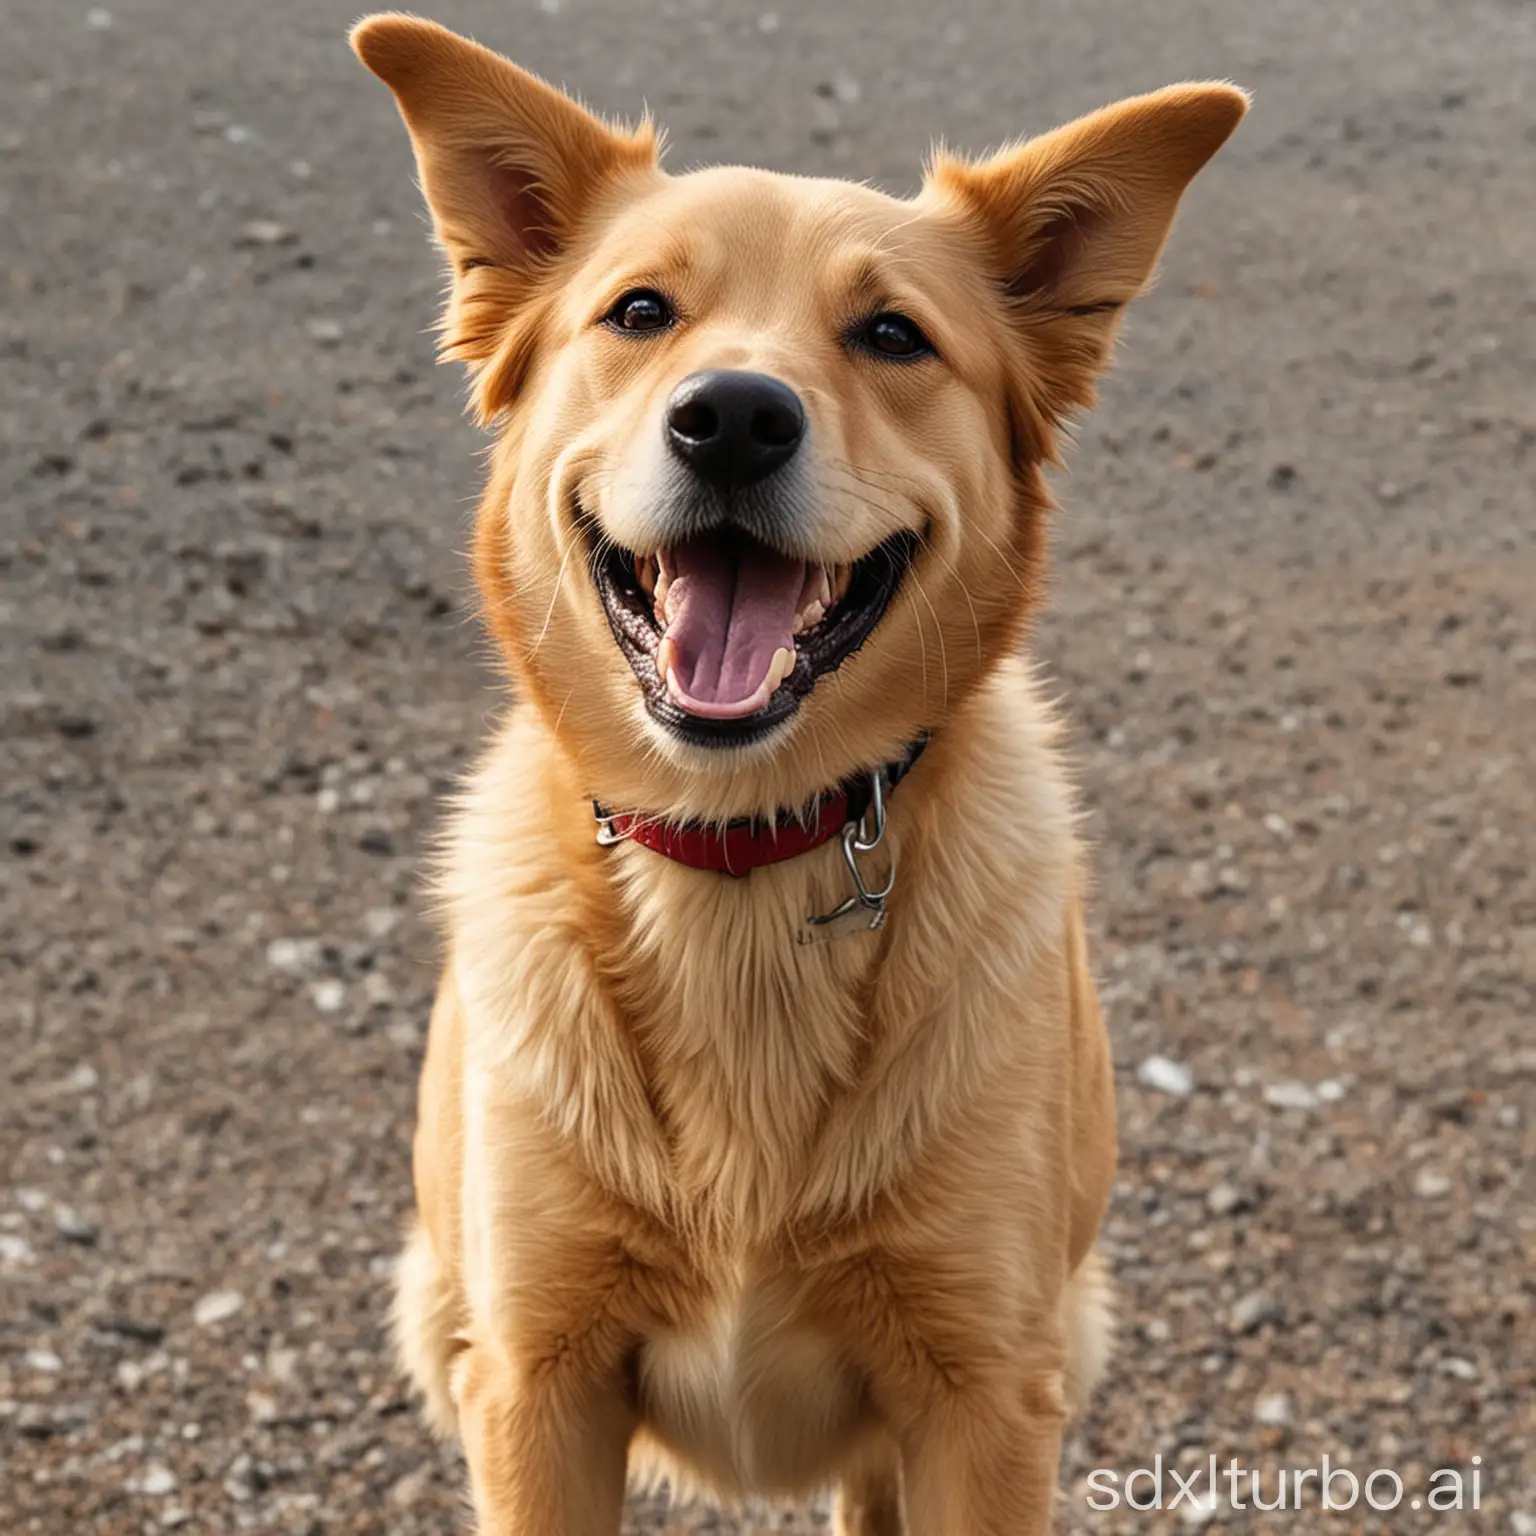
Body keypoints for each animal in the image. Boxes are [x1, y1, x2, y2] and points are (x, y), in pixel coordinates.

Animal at [353, 18, 1241, 1529]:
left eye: (892, 335)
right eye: (640, 313)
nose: (732, 418)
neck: (738, 853)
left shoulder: (982, 1399)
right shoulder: (536, 1384)